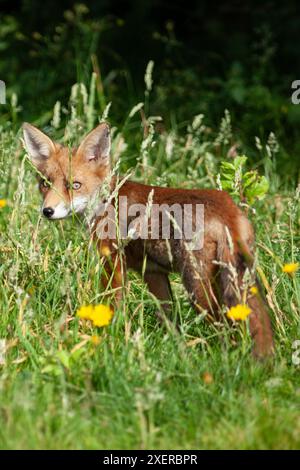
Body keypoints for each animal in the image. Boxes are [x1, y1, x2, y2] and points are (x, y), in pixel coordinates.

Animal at [21, 122, 274, 360]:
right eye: (44, 183)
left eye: (74, 185)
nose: (47, 211)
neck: (107, 200)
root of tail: (228, 209)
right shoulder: (153, 273)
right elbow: (168, 317)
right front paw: (170, 347)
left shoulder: (112, 263)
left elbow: (112, 304)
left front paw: (108, 335)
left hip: (197, 287)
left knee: (223, 324)